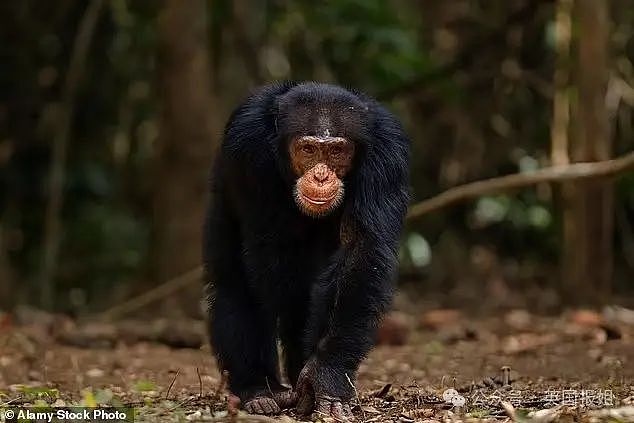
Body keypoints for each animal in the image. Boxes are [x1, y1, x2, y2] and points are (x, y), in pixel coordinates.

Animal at [202, 81, 410, 422]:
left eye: (337, 151)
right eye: (309, 150)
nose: (321, 175)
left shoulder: (389, 154)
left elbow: (360, 251)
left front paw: (324, 376)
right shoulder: (247, 146)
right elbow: (270, 251)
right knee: (234, 284)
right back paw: (258, 388)